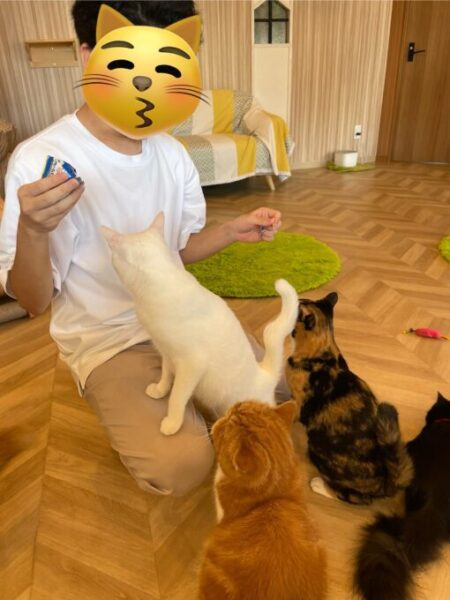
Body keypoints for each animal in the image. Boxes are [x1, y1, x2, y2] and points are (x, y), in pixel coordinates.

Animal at [101, 213, 299, 435]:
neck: (161, 282)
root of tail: (264, 376)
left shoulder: (191, 363)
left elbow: (177, 396)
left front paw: (172, 422)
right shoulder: (166, 351)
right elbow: (166, 374)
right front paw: (160, 389)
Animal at [285, 291, 413, 504]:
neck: (322, 352)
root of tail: (385, 484)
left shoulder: (300, 405)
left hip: (317, 447)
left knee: (352, 497)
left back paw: (320, 485)